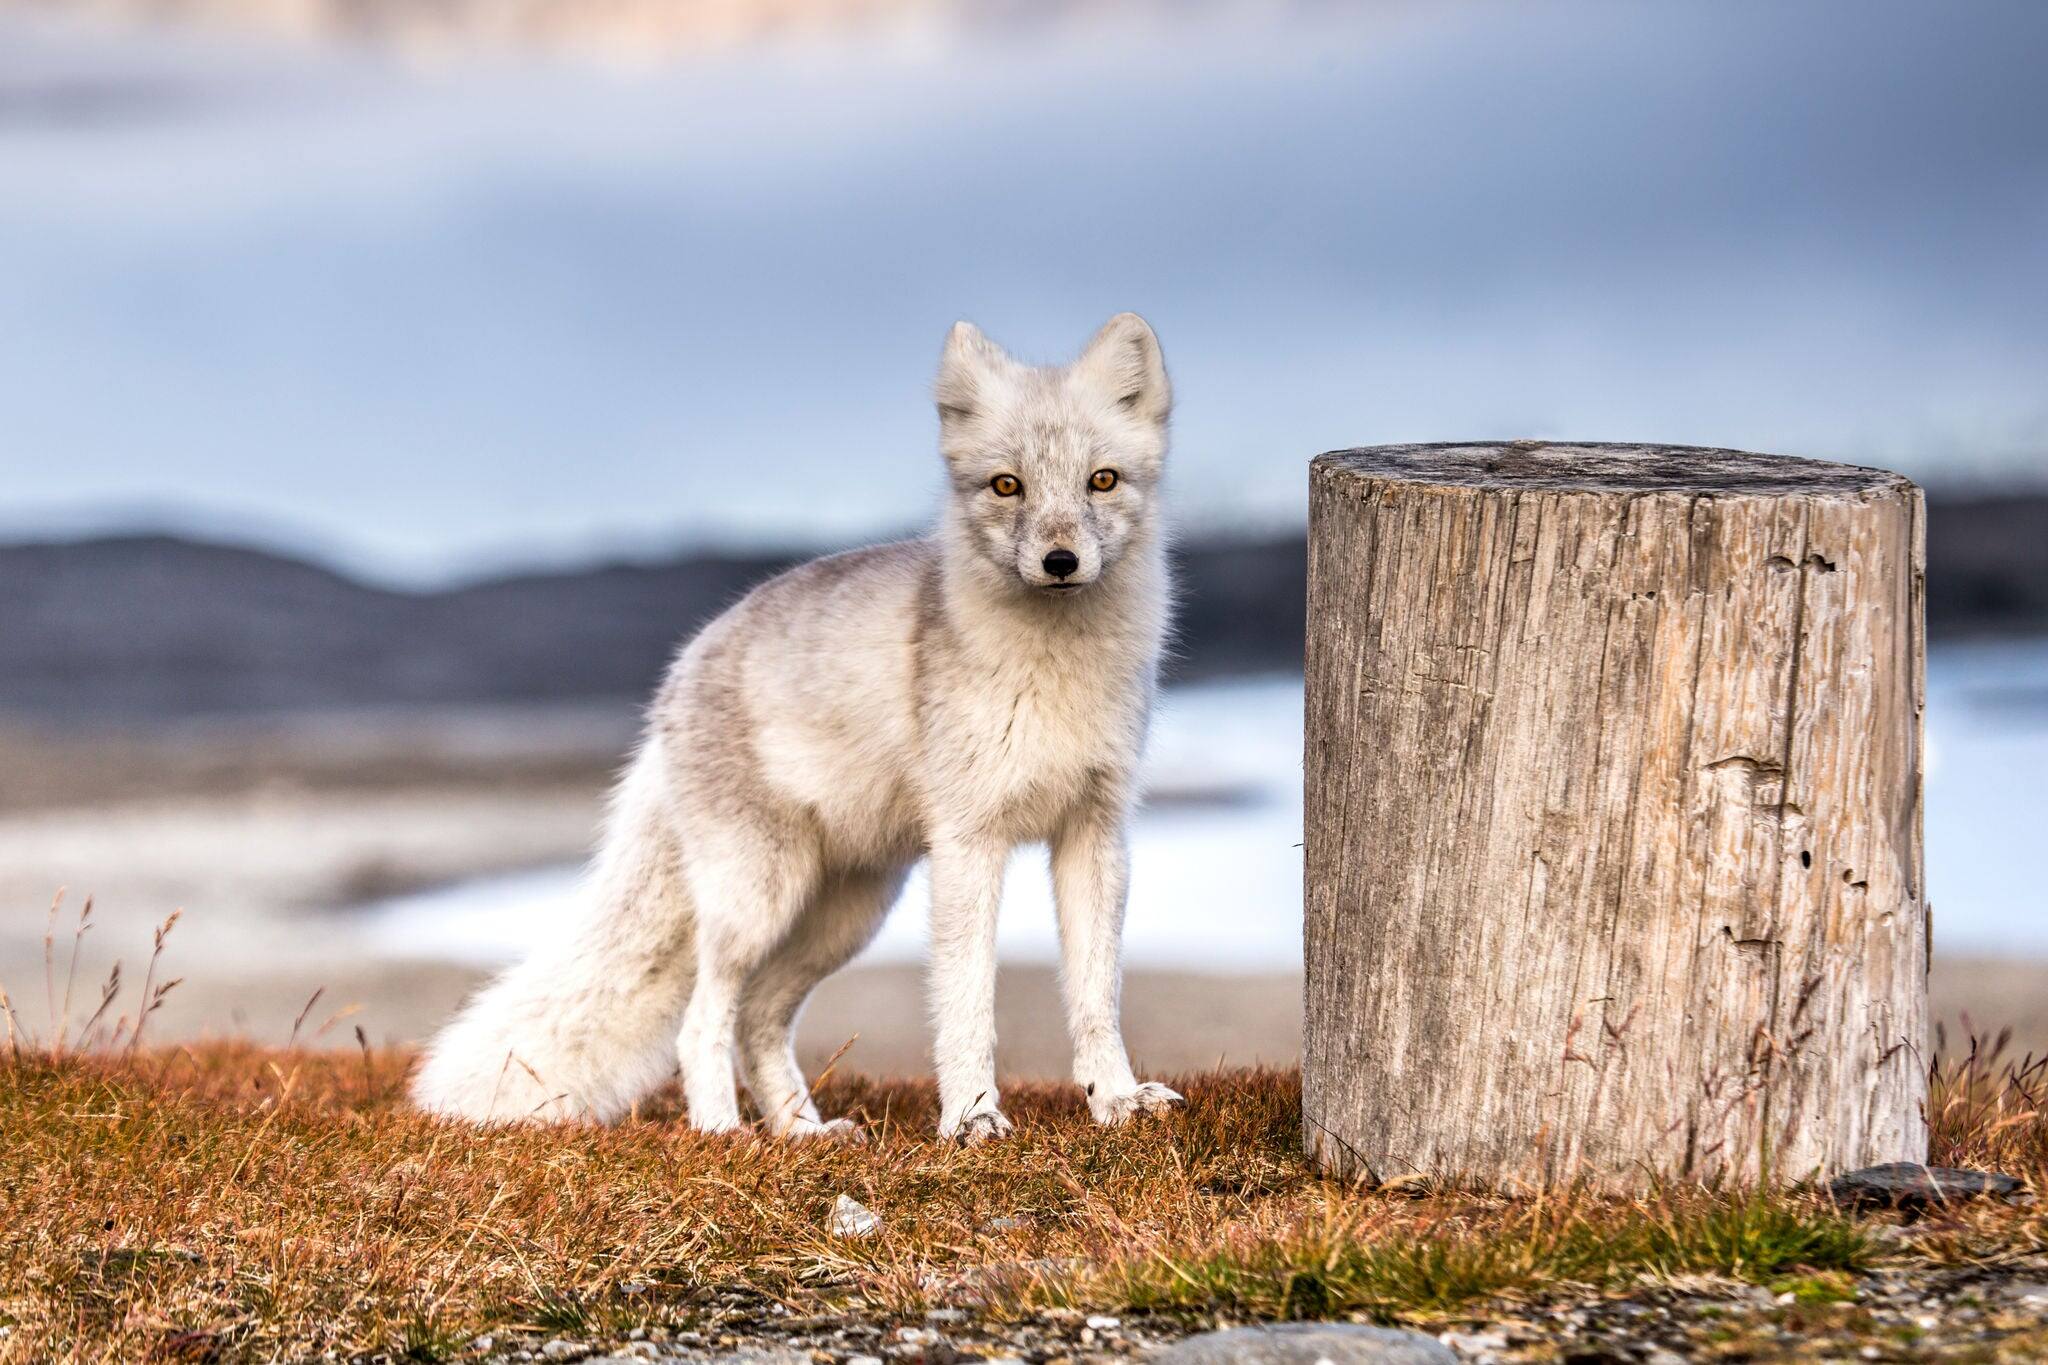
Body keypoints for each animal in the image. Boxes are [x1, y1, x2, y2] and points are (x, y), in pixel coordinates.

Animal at [410, 313, 1186, 1143]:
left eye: (1102, 479)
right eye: (1007, 484)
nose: (1061, 560)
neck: (1058, 673)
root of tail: (681, 670)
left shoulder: (1094, 830)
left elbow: (1097, 994)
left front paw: (1116, 1099)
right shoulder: (971, 841)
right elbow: (967, 1001)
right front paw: (972, 1116)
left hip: (845, 913)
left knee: (757, 1017)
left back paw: (798, 1133)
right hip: (757, 901)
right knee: (704, 1021)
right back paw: (723, 1134)